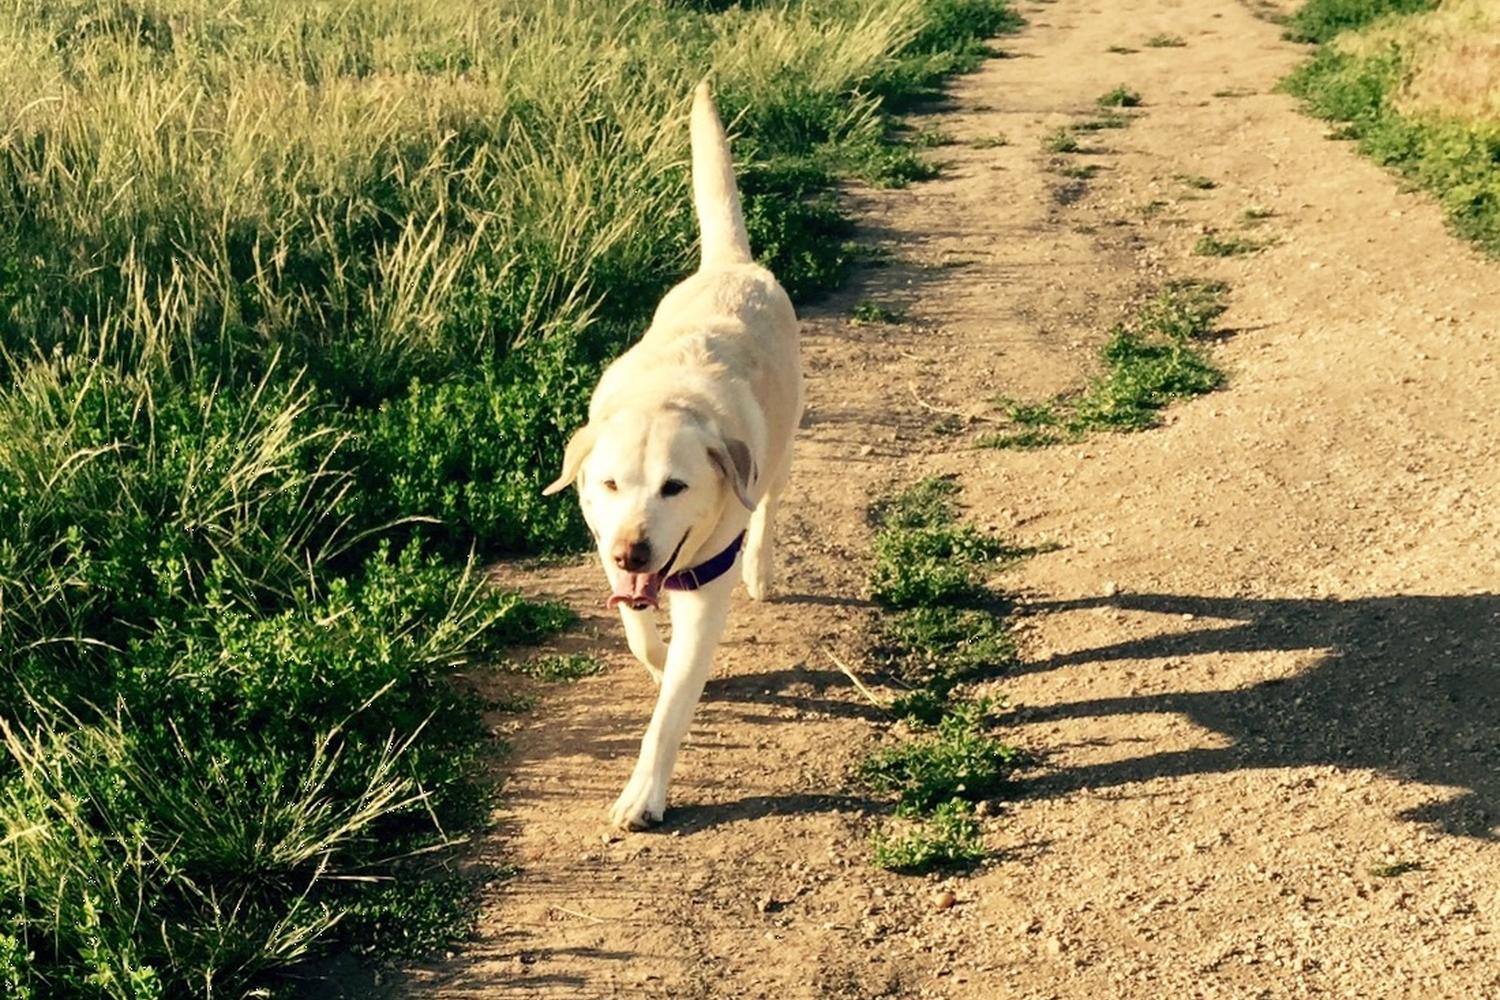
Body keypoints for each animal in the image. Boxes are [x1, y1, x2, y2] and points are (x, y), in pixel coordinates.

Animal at [540, 80, 798, 827]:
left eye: (675, 487)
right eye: (609, 485)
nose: (633, 552)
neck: (669, 397)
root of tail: (731, 266)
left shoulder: (705, 590)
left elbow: (671, 710)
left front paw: (644, 793)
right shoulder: (605, 546)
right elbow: (639, 632)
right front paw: (653, 655)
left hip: (781, 451)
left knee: (768, 506)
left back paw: (761, 569)